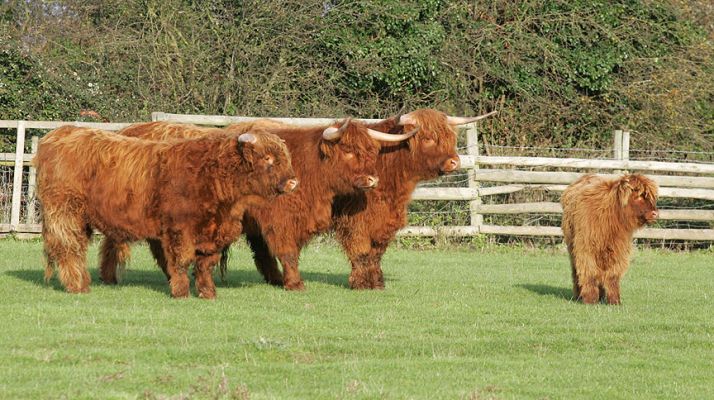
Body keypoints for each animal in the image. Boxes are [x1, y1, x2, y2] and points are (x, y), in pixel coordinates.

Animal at [35, 125, 296, 298]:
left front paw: (208, 293)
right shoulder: (179, 229)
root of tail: (61, 132)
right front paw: (181, 292)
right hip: (65, 212)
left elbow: (205, 265)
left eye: (285, 157)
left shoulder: (213, 233)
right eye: (267, 158)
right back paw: (78, 286)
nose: (293, 182)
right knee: (69, 248)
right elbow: (181, 261)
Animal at [98, 119, 415, 290]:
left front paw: (276, 279)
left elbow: (264, 254)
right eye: (348, 150)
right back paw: (110, 276)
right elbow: (287, 252)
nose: (372, 179)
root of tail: (128, 130)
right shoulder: (280, 219)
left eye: (371, 150)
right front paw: (294, 283)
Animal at [561, 174, 659, 304]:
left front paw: (614, 300)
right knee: (576, 271)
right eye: (638, 197)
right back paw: (579, 295)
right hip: (573, 247)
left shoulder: (619, 250)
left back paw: (601, 296)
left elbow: (612, 275)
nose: (655, 213)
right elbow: (589, 272)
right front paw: (590, 299)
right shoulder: (586, 248)